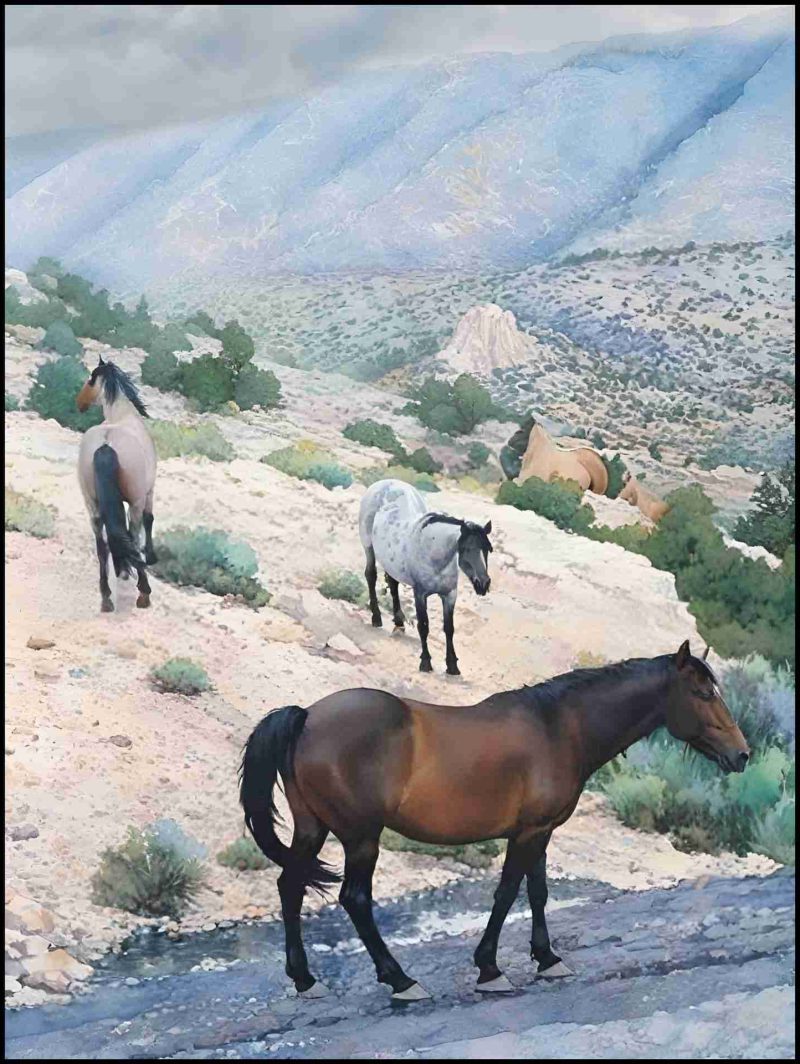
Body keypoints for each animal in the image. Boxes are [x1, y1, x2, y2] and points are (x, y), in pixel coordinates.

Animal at [76, 355, 157, 612]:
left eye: (89, 379)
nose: (79, 402)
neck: (123, 415)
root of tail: (106, 444)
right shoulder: (148, 493)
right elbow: (149, 521)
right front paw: (151, 557)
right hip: (136, 502)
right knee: (133, 535)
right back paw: (143, 593)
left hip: (92, 505)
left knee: (102, 547)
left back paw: (106, 597)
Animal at [239, 641, 749, 1002]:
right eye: (703, 693)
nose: (741, 755)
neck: (559, 727)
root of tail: (307, 716)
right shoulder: (527, 834)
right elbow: (507, 893)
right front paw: (490, 969)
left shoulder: (540, 832)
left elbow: (538, 892)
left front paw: (547, 958)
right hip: (361, 838)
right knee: (355, 899)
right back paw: (401, 981)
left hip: (313, 829)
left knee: (290, 887)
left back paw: (306, 980)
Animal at [358, 479, 492, 676]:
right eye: (467, 549)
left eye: (488, 550)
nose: (483, 584)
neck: (434, 554)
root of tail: (385, 482)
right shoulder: (420, 593)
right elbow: (423, 625)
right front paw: (426, 662)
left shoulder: (450, 595)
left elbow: (449, 628)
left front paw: (452, 666)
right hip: (368, 546)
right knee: (371, 576)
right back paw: (376, 618)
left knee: (393, 582)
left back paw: (399, 622)